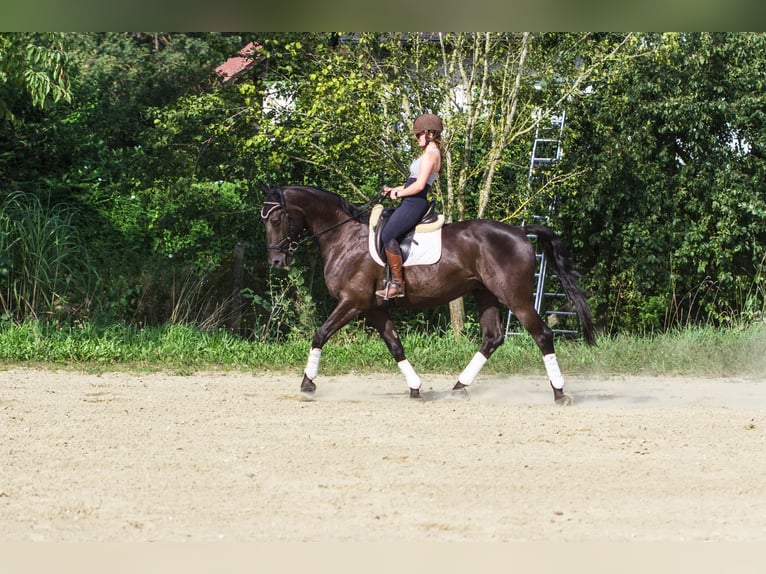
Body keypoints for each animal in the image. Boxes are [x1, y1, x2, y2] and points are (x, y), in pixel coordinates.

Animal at [264, 186, 600, 404]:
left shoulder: (353, 302)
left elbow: (320, 334)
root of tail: (519, 232)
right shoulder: (374, 308)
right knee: (492, 338)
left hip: (515, 297)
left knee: (542, 334)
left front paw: (307, 384)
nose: (276, 261)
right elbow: (395, 345)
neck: (343, 237)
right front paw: (415, 388)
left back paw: (559, 393)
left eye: (277, 219)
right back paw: (459, 387)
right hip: (485, 294)